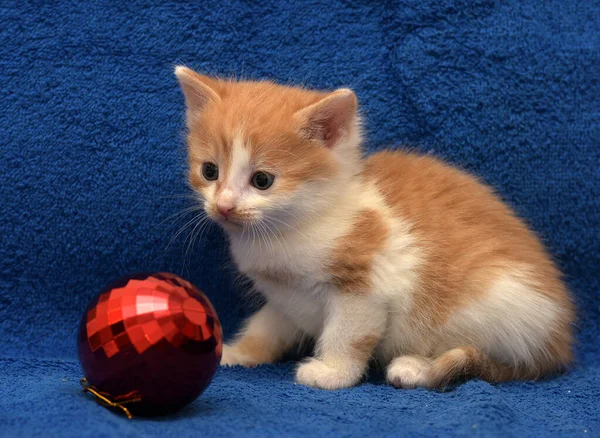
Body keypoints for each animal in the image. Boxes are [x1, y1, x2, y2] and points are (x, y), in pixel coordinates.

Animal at [175, 66, 576, 390]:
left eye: (262, 180)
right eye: (209, 171)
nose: (224, 206)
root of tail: (560, 343)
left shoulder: (367, 285)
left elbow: (348, 335)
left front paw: (332, 374)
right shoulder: (285, 297)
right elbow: (267, 325)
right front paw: (238, 352)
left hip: (493, 303)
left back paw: (417, 368)